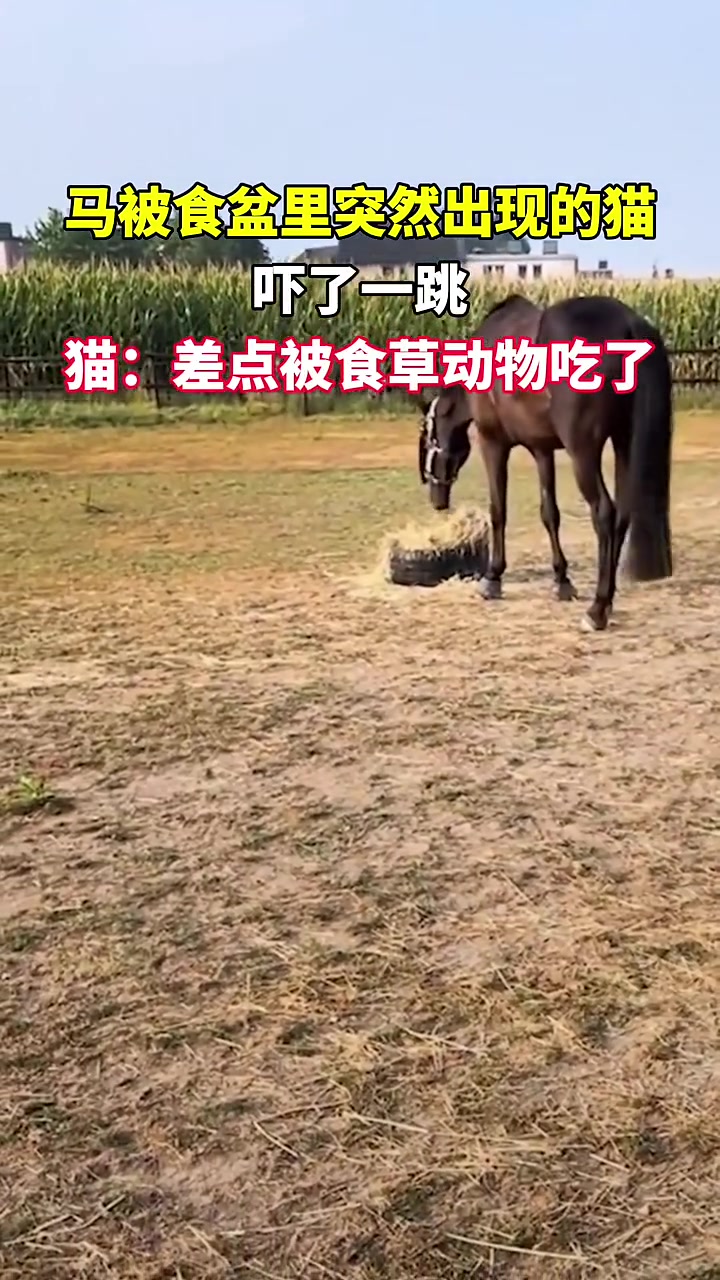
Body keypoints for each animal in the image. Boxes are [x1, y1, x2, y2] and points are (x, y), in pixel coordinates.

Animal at [417, 293, 673, 632]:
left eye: (428, 438)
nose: (437, 500)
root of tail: (629, 325)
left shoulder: (493, 443)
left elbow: (498, 511)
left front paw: (492, 579)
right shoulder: (542, 449)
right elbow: (550, 513)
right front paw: (562, 581)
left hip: (583, 452)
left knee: (605, 513)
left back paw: (597, 609)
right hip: (623, 442)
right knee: (622, 515)